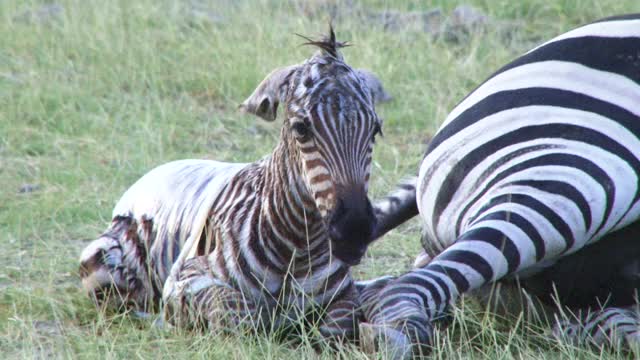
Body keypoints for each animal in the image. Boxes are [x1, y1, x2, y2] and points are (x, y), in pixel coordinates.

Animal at [79, 26, 384, 342]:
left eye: (376, 129)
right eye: (301, 129)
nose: (355, 230)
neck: (296, 247)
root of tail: (150, 175)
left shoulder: (343, 295)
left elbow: (338, 326)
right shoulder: (183, 282)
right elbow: (236, 314)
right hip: (105, 262)